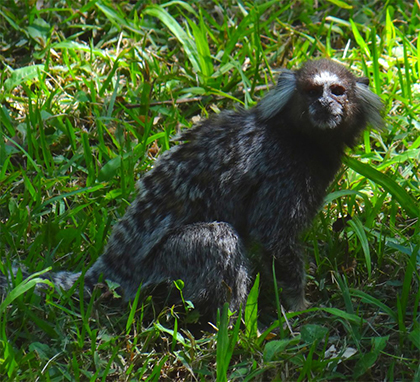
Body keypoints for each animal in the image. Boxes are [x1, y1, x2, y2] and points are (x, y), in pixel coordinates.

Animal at [0, 58, 384, 318]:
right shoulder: (284, 174)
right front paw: (299, 304)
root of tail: (114, 264)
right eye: (311, 92)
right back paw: (234, 326)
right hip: (164, 264)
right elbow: (273, 236)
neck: (301, 138)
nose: (324, 104)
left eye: (337, 91)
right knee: (220, 239)